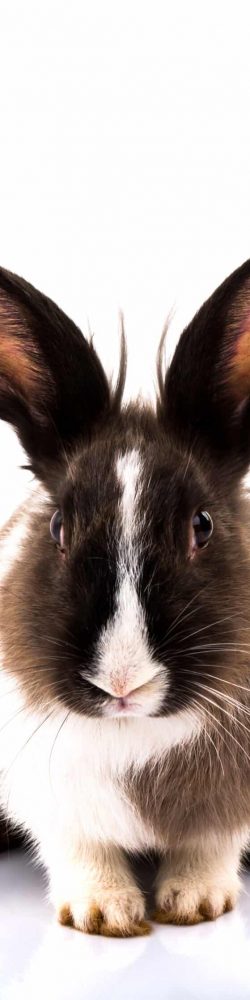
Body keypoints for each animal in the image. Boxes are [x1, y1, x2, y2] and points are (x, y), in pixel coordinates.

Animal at [0, 260, 250, 936]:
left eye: (202, 525)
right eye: (58, 525)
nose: (122, 681)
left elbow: (211, 844)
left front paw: (195, 903)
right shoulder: (47, 795)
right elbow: (77, 847)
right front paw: (105, 912)